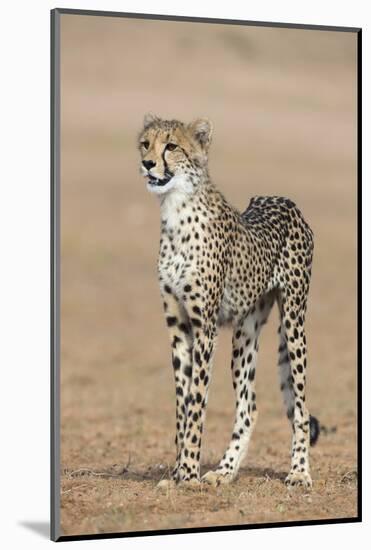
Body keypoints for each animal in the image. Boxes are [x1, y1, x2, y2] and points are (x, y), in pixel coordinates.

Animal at [137, 114, 320, 490]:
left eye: (171, 146)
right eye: (145, 144)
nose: (147, 163)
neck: (176, 210)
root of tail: (283, 198)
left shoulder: (204, 329)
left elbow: (196, 403)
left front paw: (188, 475)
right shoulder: (178, 329)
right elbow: (182, 405)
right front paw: (177, 474)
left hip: (294, 321)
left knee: (301, 406)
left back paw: (299, 472)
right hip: (244, 333)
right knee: (249, 406)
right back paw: (225, 470)